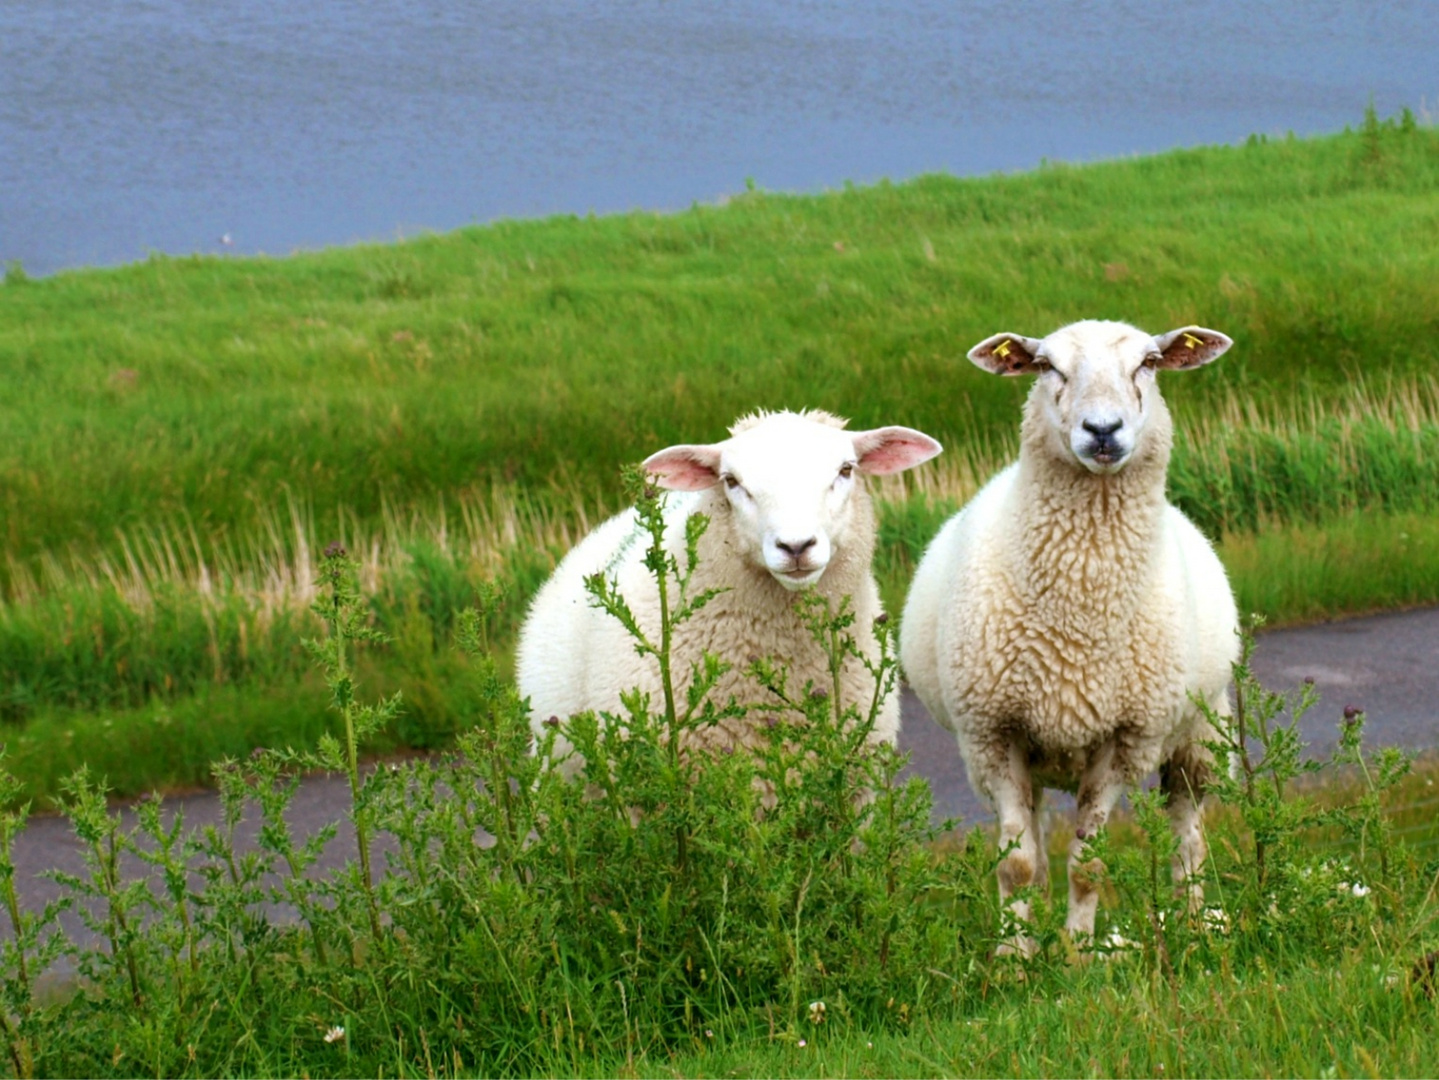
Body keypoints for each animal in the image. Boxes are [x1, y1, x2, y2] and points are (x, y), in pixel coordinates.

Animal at [897, 319, 1237, 943]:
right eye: (1047, 366)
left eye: (1148, 363)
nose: (1102, 430)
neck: (1080, 610)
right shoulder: (993, 734)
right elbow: (1017, 863)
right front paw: (1015, 955)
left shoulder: (1127, 738)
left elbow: (1091, 863)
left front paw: (1078, 951)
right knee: (1033, 836)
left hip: (1200, 731)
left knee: (1189, 832)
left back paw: (1193, 923)